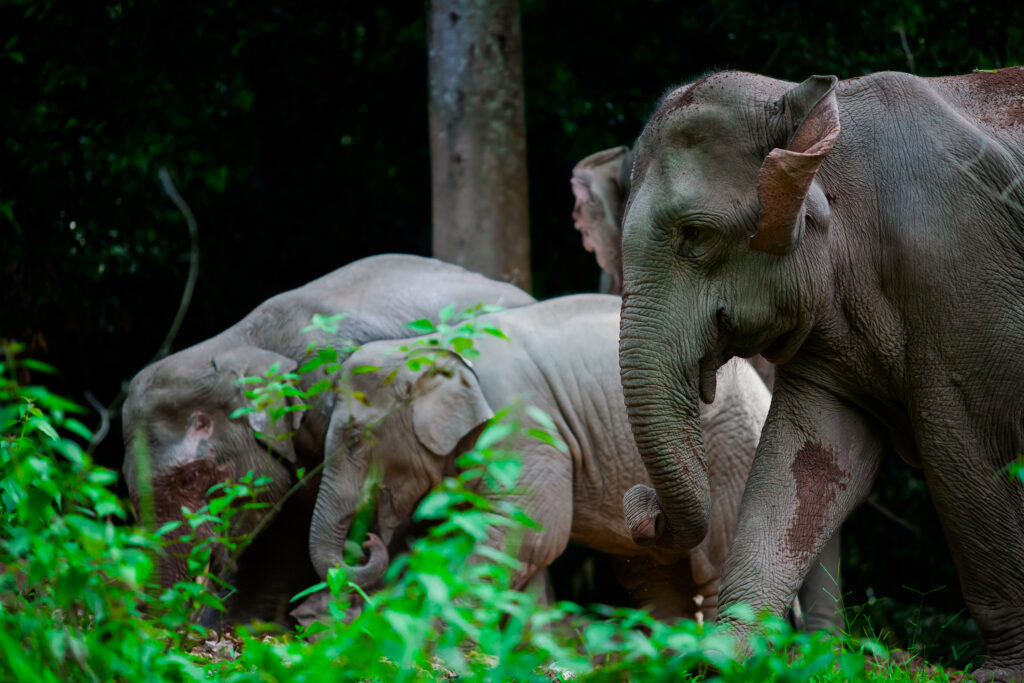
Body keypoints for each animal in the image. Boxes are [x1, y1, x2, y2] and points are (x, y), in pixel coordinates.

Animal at [307, 294, 843, 630]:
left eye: (355, 440)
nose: (368, 541)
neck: (431, 344)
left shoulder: (525, 425)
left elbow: (531, 528)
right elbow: (521, 539)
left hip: (732, 453)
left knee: (716, 569)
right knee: (655, 581)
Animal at [614, 66, 1024, 679]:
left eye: (695, 235)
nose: (643, 506)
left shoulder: (961, 271)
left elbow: (973, 457)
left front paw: (1003, 674)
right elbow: (808, 456)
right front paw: (721, 658)